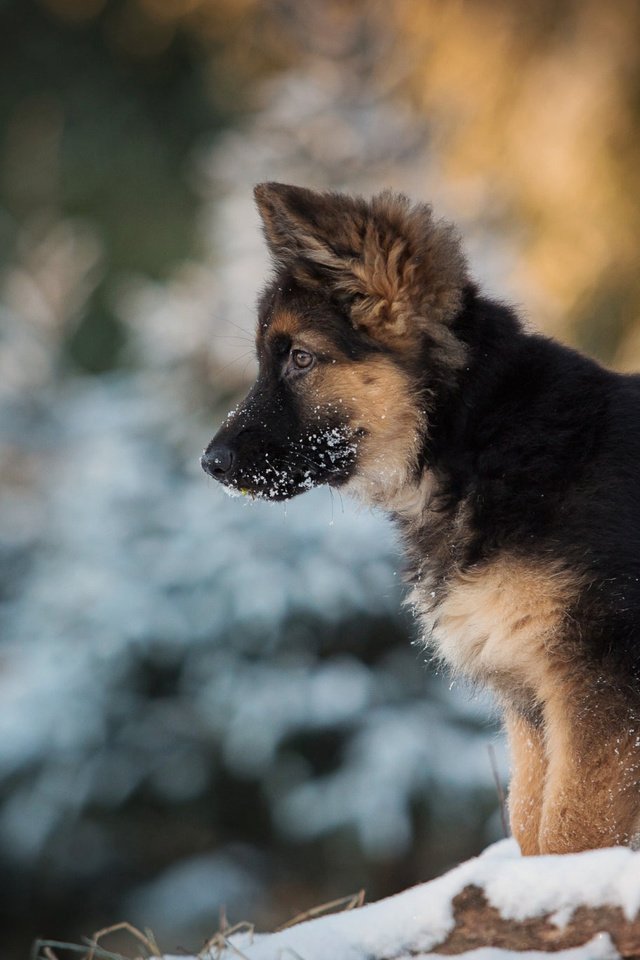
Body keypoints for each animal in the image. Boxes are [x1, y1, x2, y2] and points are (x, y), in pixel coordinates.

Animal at [202, 182, 640, 856]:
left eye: (300, 358)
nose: (210, 463)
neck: (479, 441)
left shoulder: (599, 687)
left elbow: (573, 832)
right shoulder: (528, 699)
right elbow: (529, 824)